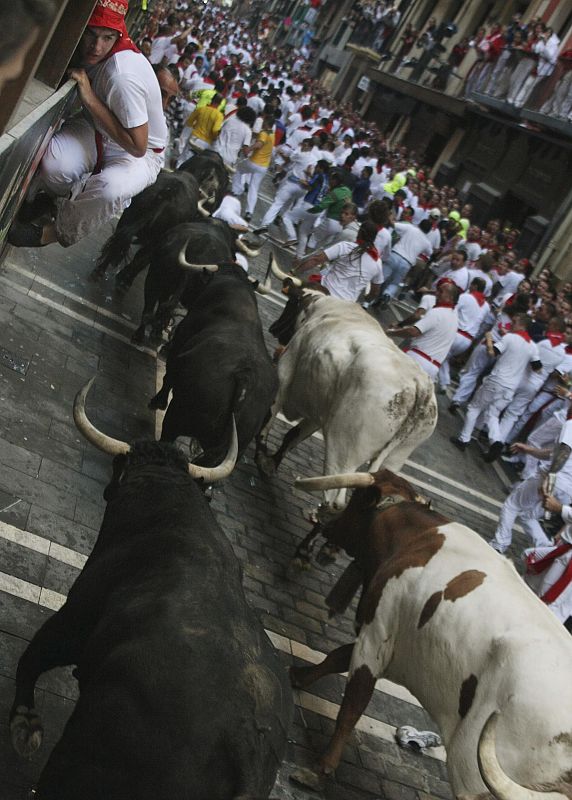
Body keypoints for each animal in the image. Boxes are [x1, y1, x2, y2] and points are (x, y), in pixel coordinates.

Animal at [151, 262, 278, 462]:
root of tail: (245, 377)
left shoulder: (180, 339)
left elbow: (168, 377)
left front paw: (157, 401)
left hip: (177, 416)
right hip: (234, 448)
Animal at [290, 468, 572, 800]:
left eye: (356, 500)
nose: (326, 520)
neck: (417, 538)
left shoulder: (376, 635)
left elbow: (351, 707)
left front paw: (321, 768)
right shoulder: (387, 638)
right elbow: (337, 656)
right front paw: (299, 675)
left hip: (473, 770)